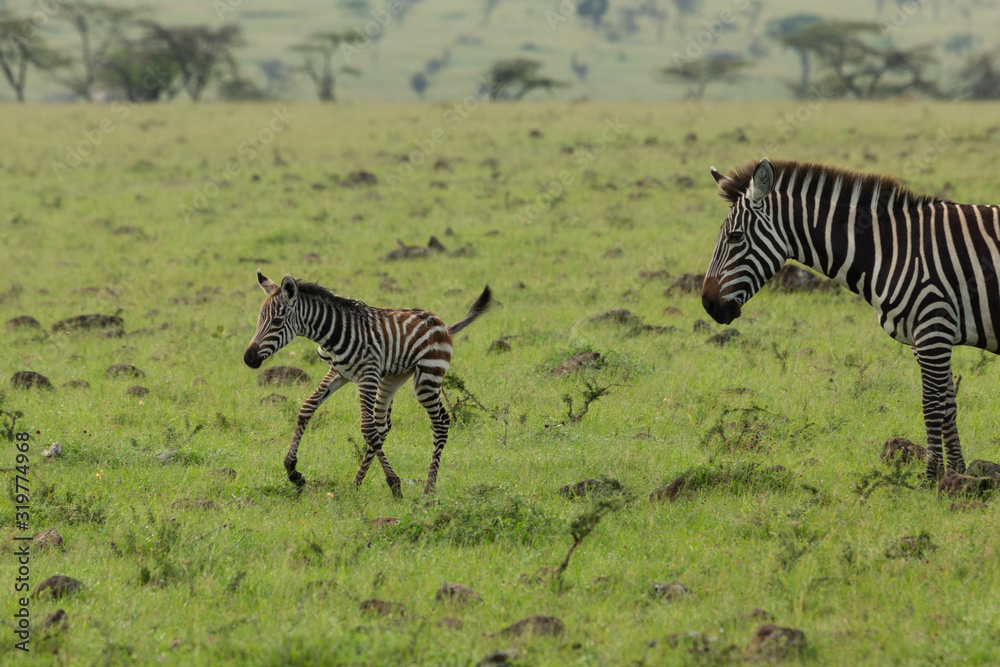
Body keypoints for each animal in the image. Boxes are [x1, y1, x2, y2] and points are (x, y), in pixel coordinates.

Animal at [244, 270, 492, 497]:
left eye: (277, 321)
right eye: (259, 319)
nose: (248, 358)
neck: (332, 334)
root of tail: (443, 326)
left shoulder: (368, 375)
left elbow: (367, 429)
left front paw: (395, 484)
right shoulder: (338, 373)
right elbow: (307, 409)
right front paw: (292, 471)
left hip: (427, 378)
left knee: (439, 422)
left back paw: (428, 489)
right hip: (392, 378)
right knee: (383, 425)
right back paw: (357, 482)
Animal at [702, 157, 1000, 481]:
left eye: (735, 237)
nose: (708, 304)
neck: (889, 249)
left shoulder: (933, 327)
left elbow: (932, 404)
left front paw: (931, 479)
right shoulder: (923, 337)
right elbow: (948, 405)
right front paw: (958, 476)